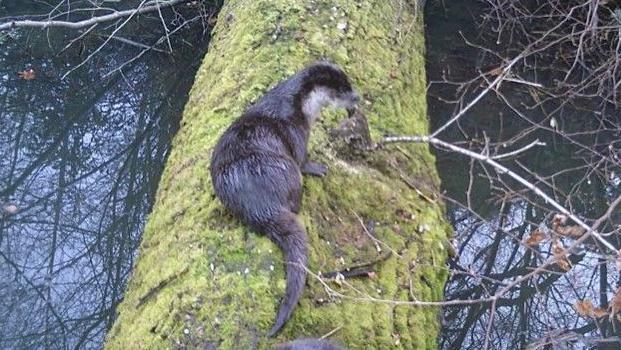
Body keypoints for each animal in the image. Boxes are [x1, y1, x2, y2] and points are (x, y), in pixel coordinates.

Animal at [211, 62, 358, 336]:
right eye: (341, 90)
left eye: (350, 85)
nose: (358, 98)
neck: (298, 107)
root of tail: (260, 205)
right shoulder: (297, 133)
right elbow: (303, 160)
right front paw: (317, 167)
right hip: (286, 172)